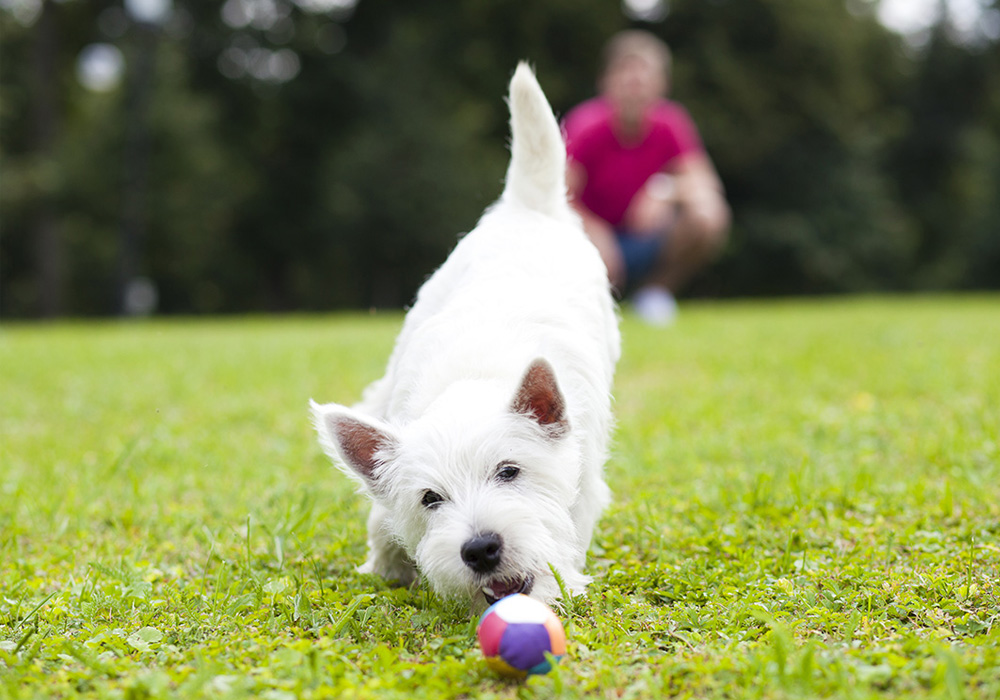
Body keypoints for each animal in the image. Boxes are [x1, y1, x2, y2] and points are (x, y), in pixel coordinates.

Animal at [310, 67, 616, 612]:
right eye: (431, 498)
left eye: (510, 472)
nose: (481, 548)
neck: (473, 380)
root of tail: (525, 207)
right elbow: (382, 519)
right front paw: (386, 565)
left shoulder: (585, 478)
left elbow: (571, 527)